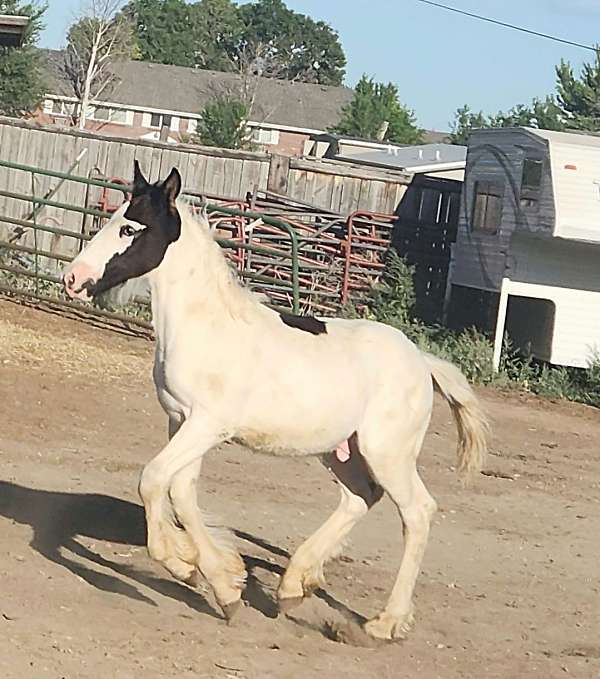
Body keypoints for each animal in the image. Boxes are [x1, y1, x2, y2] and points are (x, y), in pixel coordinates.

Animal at [63, 162, 487, 641]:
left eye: (131, 228)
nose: (73, 278)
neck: (208, 327)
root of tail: (422, 361)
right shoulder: (181, 421)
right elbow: (182, 492)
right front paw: (220, 580)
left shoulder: (208, 425)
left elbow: (154, 480)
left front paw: (188, 568)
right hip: (340, 451)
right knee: (359, 497)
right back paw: (292, 587)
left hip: (388, 453)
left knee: (417, 512)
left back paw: (385, 622)